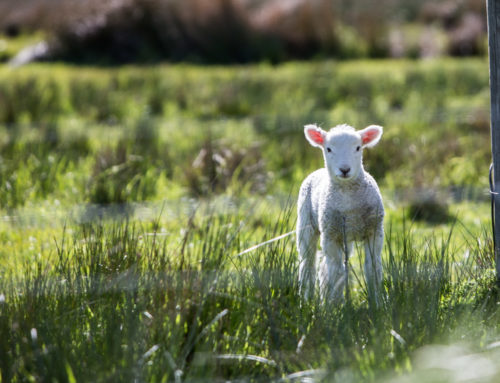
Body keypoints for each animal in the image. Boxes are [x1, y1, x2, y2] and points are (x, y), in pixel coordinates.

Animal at [294, 123, 384, 304]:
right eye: (328, 149)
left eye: (358, 148)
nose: (344, 169)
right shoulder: (330, 235)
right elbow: (337, 273)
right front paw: (335, 306)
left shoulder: (374, 231)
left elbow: (372, 270)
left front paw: (377, 304)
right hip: (306, 224)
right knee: (308, 265)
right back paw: (307, 300)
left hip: (345, 236)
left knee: (324, 267)